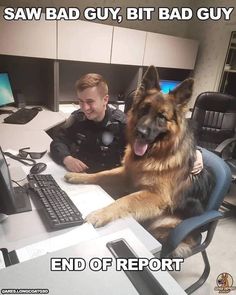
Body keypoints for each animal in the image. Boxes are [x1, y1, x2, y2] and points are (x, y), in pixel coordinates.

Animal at [64, 66, 214, 256]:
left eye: (161, 117)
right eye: (143, 109)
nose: (140, 132)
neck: (155, 156)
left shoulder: (155, 196)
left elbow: (124, 201)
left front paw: (100, 214)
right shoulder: (126, 174)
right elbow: (101, 174)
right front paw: (78, 175)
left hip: (163, 225)